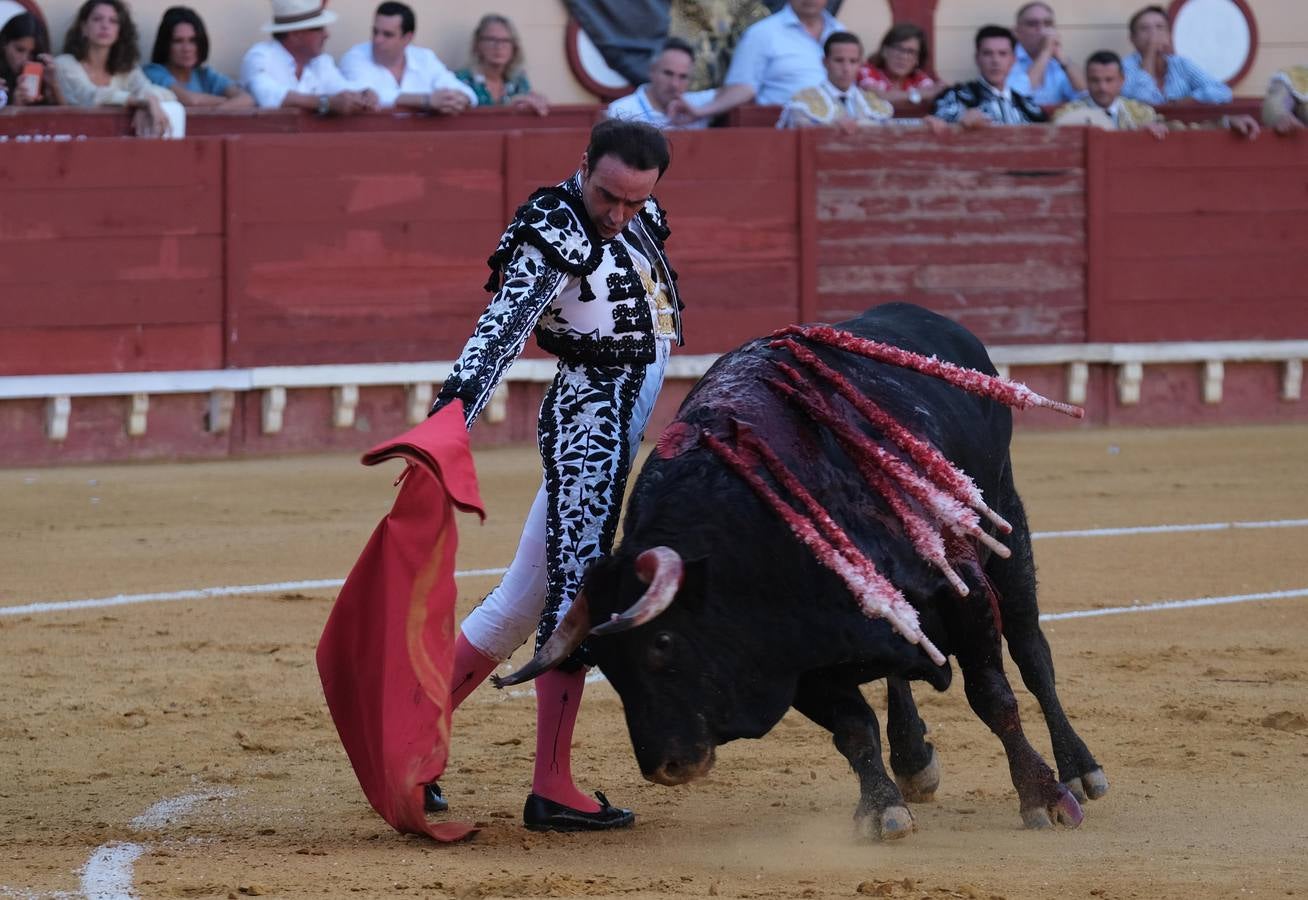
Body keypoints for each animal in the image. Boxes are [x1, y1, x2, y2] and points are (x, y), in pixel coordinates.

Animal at [494, 302, 1109, 837]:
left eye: (662, 644)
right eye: (607, 665)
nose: (664, 767)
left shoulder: (961, 590)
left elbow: (992, 695)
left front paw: (1042, 797)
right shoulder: (794, 656)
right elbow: (853, 728)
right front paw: (882, 810)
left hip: (1005, 517)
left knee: (1032, 654)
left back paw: (1081, 769)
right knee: (900, 673)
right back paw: (913, 759)